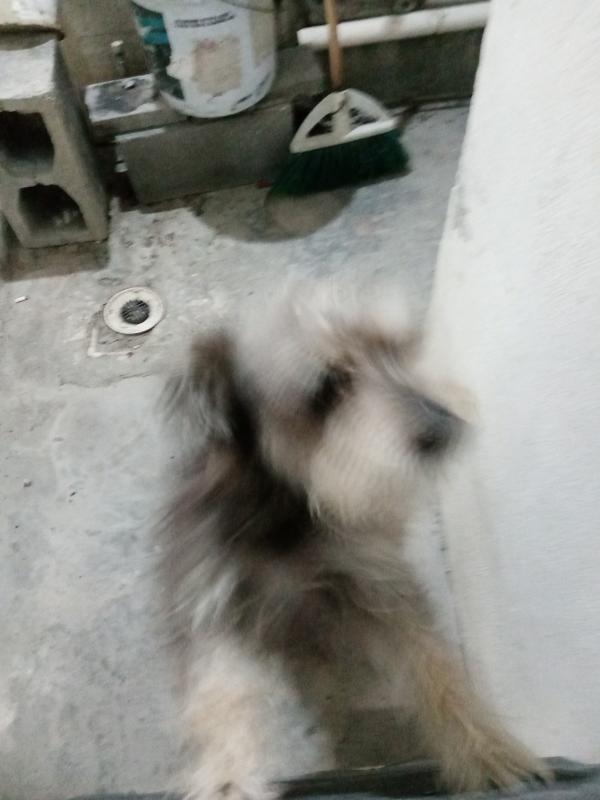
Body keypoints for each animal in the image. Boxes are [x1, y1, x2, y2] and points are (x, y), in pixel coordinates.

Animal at [158, 283, 548, 800]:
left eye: (396, 350)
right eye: (328, 388)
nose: (446, 428)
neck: (290, 516)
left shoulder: (376, 587)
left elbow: (435, 666)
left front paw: (487, 748)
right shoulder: (215, 603)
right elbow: (223, 694)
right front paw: (227, 778)